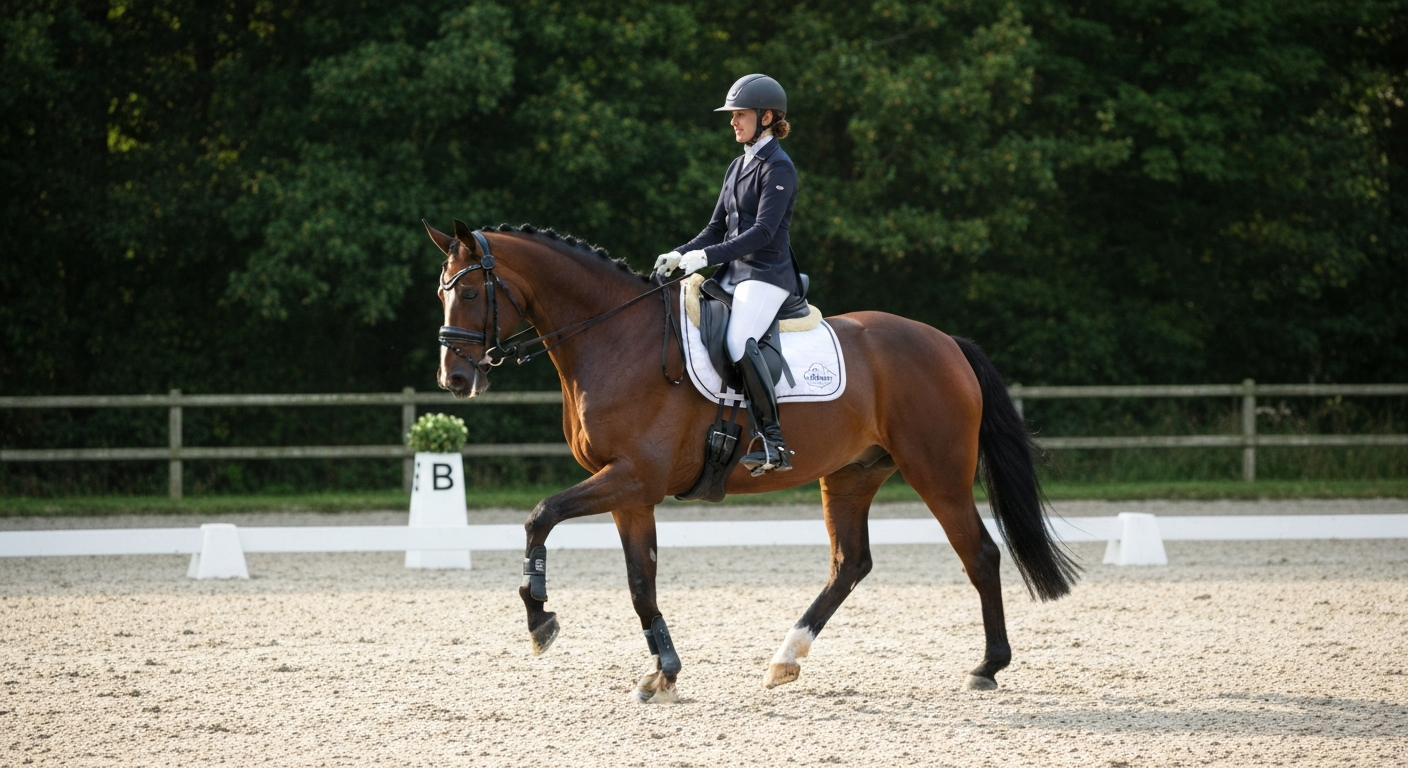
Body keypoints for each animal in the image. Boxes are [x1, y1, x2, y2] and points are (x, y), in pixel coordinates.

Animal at [424, 219, 1079, 702]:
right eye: (442, 292)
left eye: (473, 291)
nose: (454, 379)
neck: (615, 338)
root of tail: (947, 342)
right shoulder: (630, 491)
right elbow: (640, 580)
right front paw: (663, 670)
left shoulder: (630, 478)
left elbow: (540, 515)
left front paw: (541, 621)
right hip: (852, 475)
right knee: (850, 564)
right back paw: (785, 659)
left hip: (936, 473)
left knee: (981, 554)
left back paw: (987, 666)